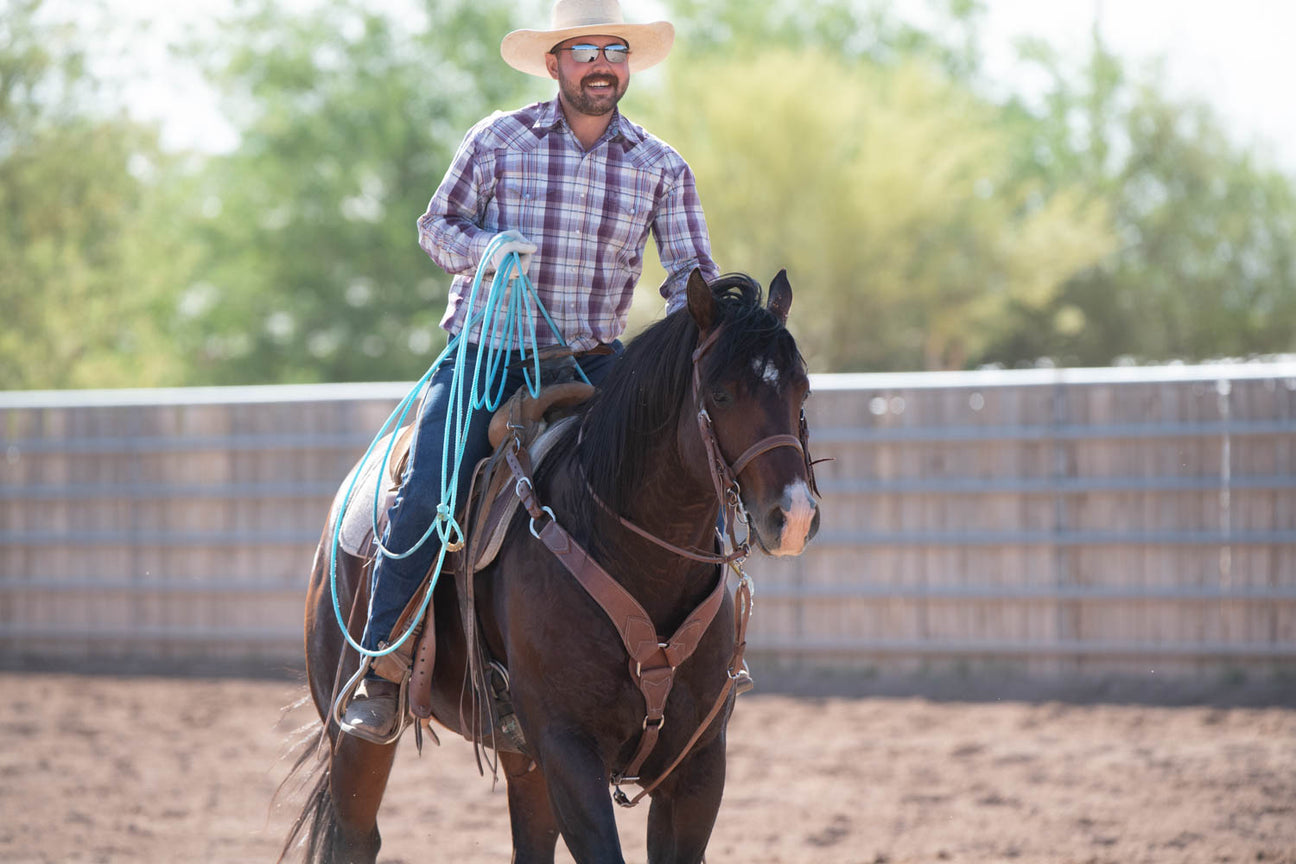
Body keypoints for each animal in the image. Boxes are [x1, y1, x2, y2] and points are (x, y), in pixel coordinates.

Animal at [283, 270, 819, 864]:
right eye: (721, 395)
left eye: (802, 389)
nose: (793, 516)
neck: (638, 564)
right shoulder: (568, 752)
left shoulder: (698, 763)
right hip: (353, 728)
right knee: (355, 830)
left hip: (526, 763)